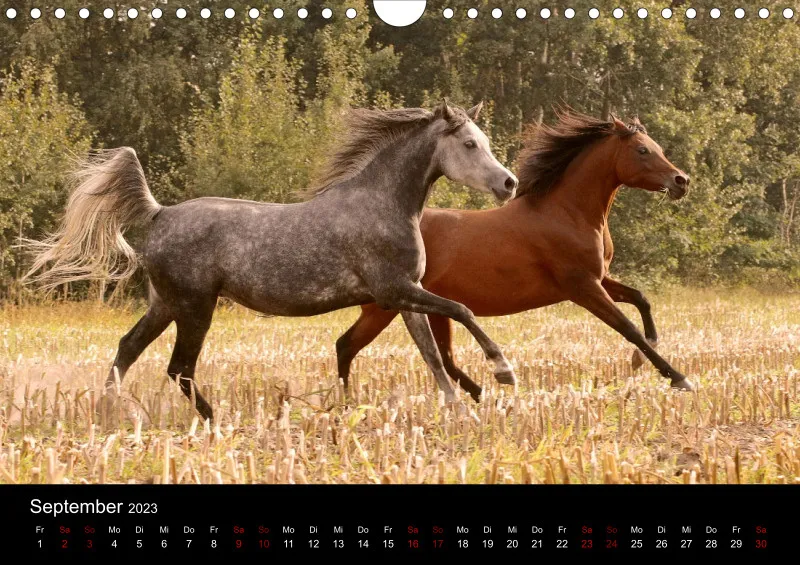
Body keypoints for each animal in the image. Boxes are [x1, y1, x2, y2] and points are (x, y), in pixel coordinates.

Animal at [22, 101, 520, 420]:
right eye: (470, 144)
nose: (509, 183)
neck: (384, 204)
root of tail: (159, 212)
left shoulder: (404, 297)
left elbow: (432, 355)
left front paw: (459, 412)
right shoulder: (396, 290)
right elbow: (463, 310)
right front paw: (503, 371)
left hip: (164, 305)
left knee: (127, 350)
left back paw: (110, 412)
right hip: (195, 308)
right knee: (179, 368)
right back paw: (217, 420)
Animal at [335, 110, 694, 402]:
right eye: (642, 150)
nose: (682, 181)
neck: (567, 213)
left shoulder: (599, 279)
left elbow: (641, 299)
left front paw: (643, 357)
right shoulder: (583, 287)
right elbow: (627, 327)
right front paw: (678, 378)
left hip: (426, 306)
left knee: (440, 356)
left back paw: (483, 395)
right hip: (387, 306)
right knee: (347, 345)